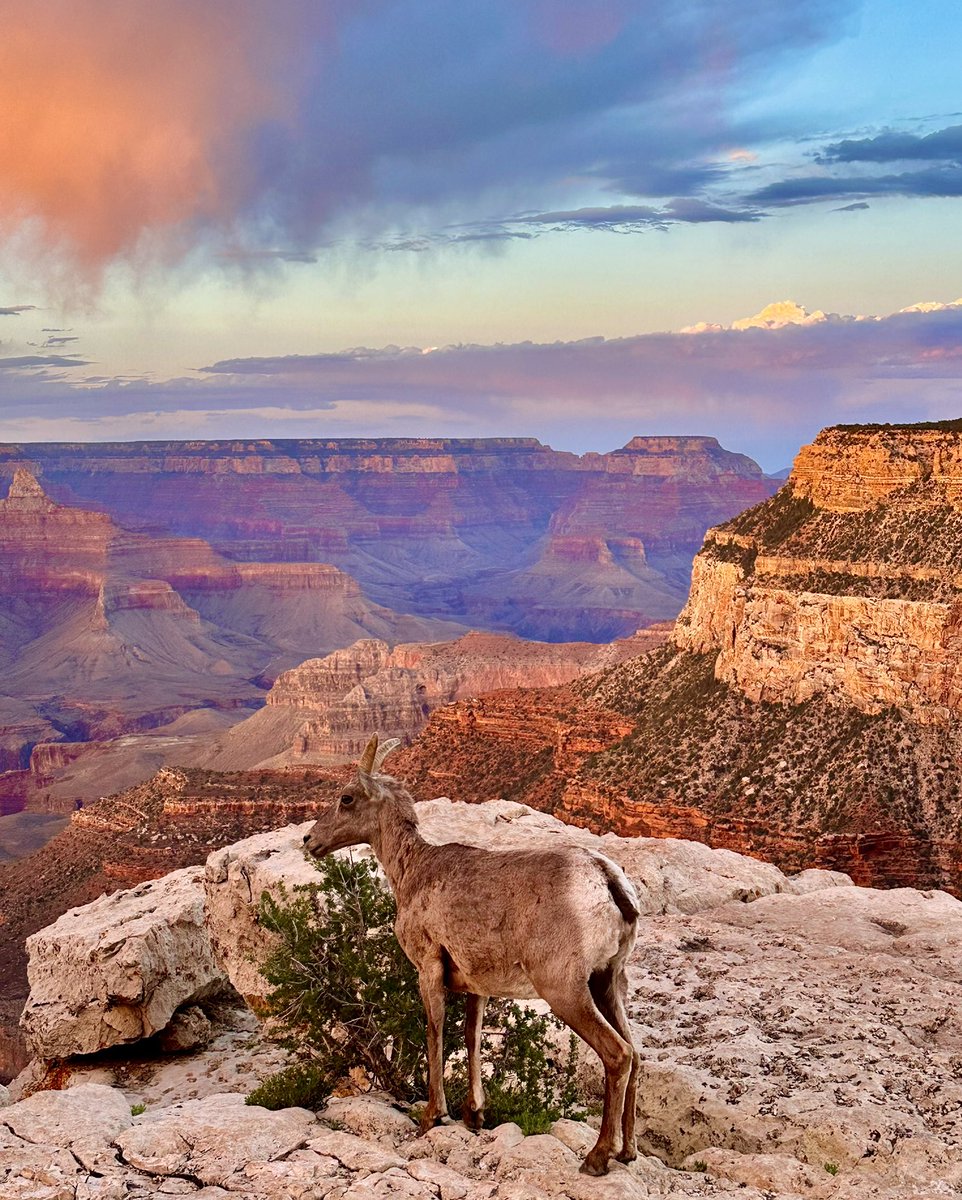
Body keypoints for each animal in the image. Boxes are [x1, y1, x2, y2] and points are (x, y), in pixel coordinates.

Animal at [303, 732, 641, 1176]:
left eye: (346, 798)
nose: (309, 841)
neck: (412, 873)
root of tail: (606, 879)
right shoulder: (477, 984)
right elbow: (472, 1037)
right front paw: (474, 1114)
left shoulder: (429, 966)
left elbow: (435, 1030)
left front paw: (432, 1116)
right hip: (608, 981)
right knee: (637, 1054)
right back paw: (628, 1152)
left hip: (565, 989)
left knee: (618, 1055)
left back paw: (597, 1157)